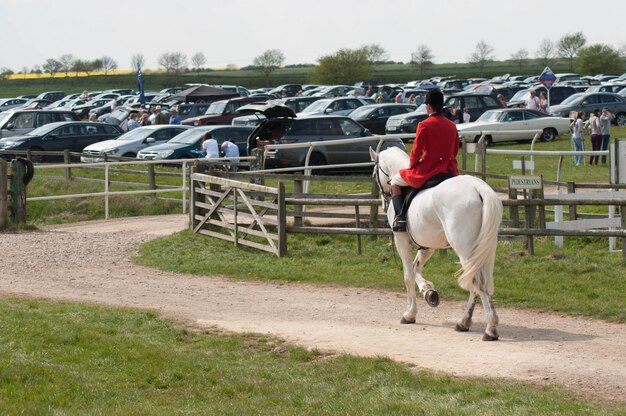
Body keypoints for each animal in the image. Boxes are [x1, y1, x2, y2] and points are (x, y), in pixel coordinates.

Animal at [370, 147, 502, 342]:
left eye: (373, 174)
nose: (384, 202)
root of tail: (479, 188)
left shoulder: (402, 242)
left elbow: (408, 275)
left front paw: (410, 314)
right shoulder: (428, 245)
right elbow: (416, 269)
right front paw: (429, 292)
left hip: (465, 249)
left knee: (478, 282)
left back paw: (489, 329)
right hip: (484, 248)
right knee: (476, 283)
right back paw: (464, 322)